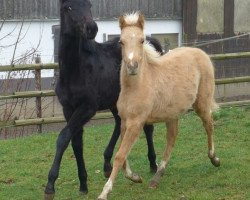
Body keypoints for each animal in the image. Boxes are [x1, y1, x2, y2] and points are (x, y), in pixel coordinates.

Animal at [44, 0, 163, 198]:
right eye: (68, 8)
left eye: (89, 5)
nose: (91, 28)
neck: (75, 70)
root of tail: (148, 42)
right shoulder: (68, 109)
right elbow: (76, 142)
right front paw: (83, 183)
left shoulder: (87, 108)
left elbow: (63, 137)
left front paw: (50, 185)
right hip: (115, 102)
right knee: (118, 123)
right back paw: (107, 164)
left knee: (147, 128)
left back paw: (153, 164)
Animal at [98, 12, 220, 200]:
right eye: (121, 42)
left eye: (142, 40)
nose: (132, 67)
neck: (137, 86)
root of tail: (201, 52)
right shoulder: (125, 122)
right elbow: (123, 155)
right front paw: (135, 177)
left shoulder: (136, 123)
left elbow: (120, 156)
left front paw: (105, 192)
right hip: (173, 114)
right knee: (172, 139)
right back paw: (156, 177)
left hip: (201, 103)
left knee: (209, 125)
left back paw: (214, 159)